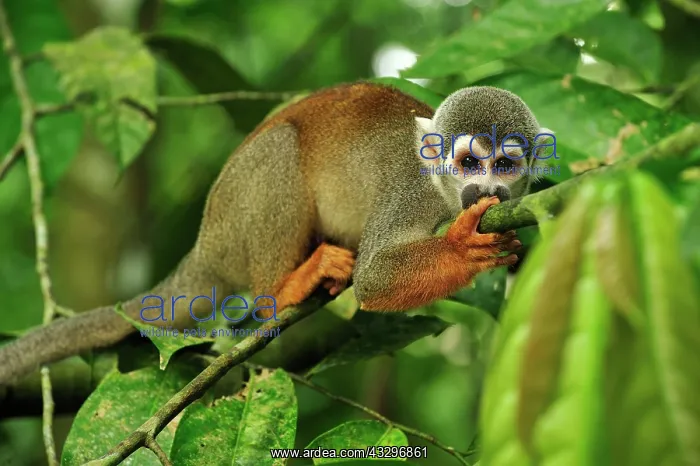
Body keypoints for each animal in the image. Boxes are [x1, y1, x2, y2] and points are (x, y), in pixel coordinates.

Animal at [0, 82, 552, 385]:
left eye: (504, 166)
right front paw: (463, 244)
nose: (485, 191)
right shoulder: (410, 192)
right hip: (235, 220)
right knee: (280, 150)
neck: (442, 191)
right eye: (469, 163)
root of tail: (204, 244)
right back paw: (282, 289)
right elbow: (374, 278)